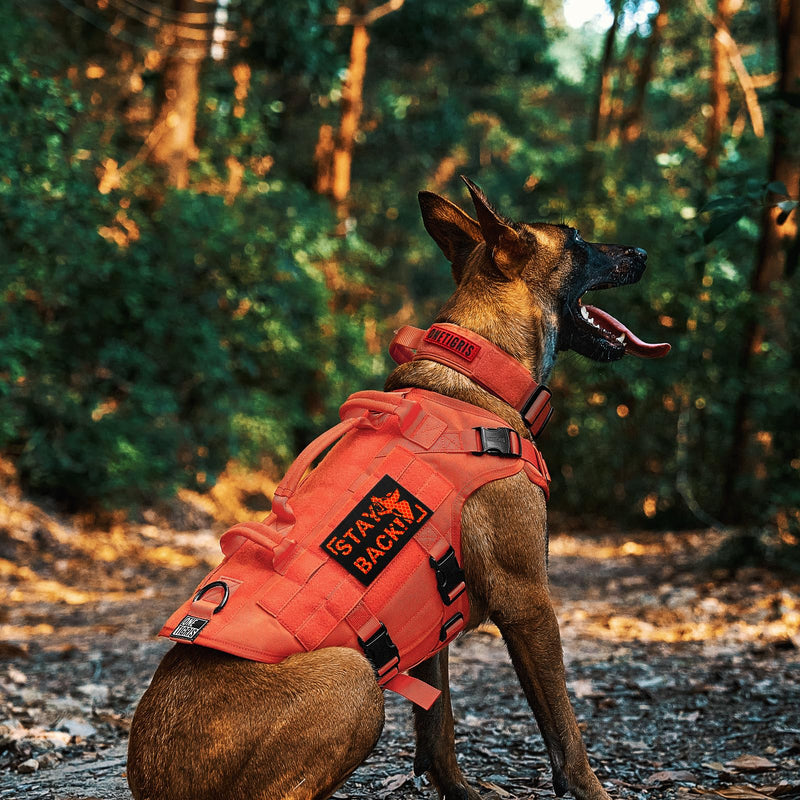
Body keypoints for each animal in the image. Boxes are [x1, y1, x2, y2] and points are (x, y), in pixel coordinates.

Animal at [128, 177, 668, 800]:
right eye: (577, 239)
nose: (643, 253)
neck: (479, 373)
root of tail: (152, 781)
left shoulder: (433, 615)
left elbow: (438, 730)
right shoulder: (528, 601)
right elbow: (565, 733)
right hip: (352, 676)